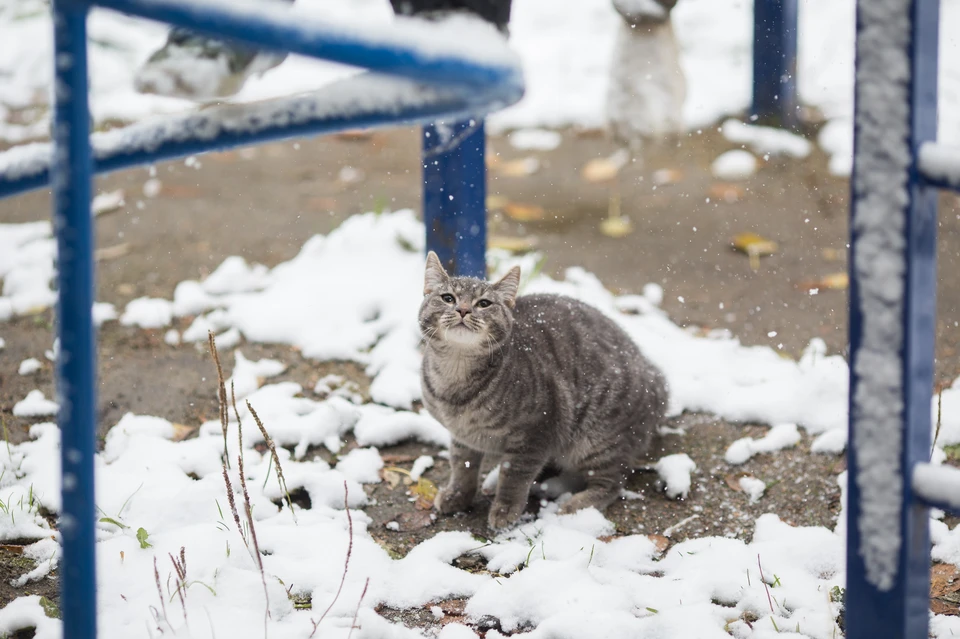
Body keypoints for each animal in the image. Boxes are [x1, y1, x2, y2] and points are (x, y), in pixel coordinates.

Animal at [420, 252, 668, 528]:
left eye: (484, 303)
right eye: (448, 298)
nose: (463, 309)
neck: (455, 377)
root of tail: (653, 377)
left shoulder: (536, 431)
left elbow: (514, 475)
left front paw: (505, 509)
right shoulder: (462, 437)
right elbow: (462, 466)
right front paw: (457, 495)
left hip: (597, 439)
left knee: (613, 481)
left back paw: (575, 505)